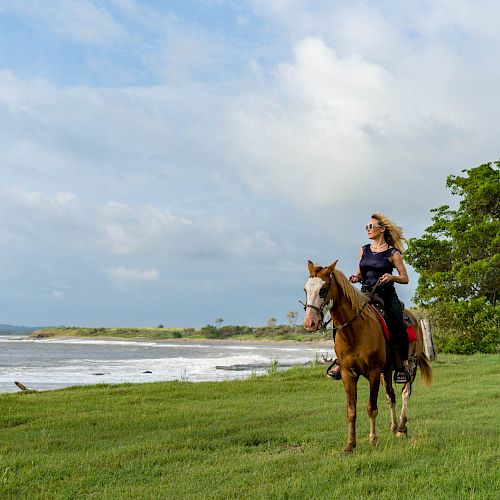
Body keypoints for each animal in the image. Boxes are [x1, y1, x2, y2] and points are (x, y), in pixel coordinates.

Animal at [302, 262, 432, 454]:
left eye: (323, 289)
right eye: (306, 289)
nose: (309, 323)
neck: (355, 331)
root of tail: (415, 317)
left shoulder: (373, 372)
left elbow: (372, 407)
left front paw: (373, 439)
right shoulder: (348, 374)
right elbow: (351, 410)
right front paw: (350, 445)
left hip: (410, 365)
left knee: (405, 393)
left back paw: (401, 427)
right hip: (387, 371)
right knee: (391, 396)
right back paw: (394, 427)